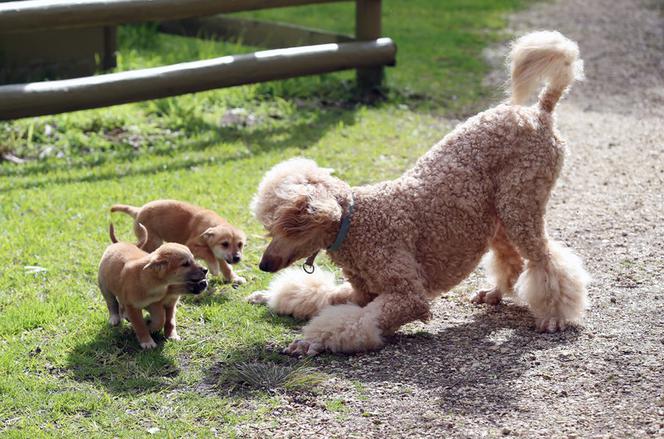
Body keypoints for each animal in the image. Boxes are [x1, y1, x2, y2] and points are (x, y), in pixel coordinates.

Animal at [111, 200, 246, 284]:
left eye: (240, 244)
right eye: (225, 244)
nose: (237, 258)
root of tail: (138, 210)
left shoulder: (220, 254)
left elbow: (225, 266)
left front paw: (234, 278)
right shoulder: (191, 246)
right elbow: (208, 252)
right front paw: (214, 268)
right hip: (153, 241)